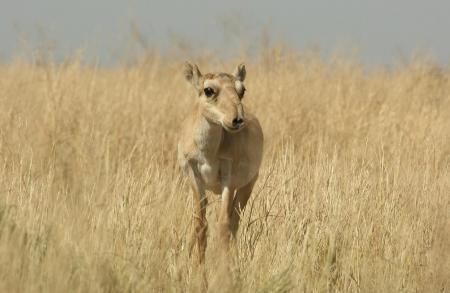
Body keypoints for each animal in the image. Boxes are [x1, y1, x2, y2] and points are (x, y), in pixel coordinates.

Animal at [178, 61, 264, 262]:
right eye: (208, 90)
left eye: (242, 90)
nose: (237, 120)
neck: (208, 152)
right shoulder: (194, 176)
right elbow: (200, 223)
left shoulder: (229, 180)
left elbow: (224, 225)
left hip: (246, 187)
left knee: (234, 223)